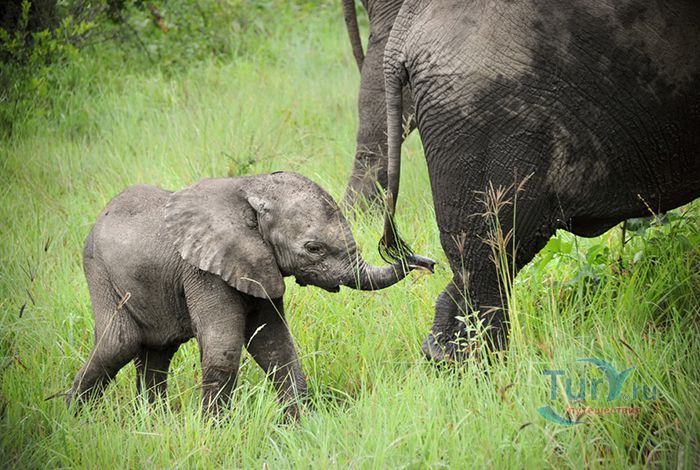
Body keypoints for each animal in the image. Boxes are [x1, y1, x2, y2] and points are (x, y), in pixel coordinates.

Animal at [66, 172, 435, 417]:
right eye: (313, 248)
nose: (427, 262)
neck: (250, 188)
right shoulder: (205, 270)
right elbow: (225, 348)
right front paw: (213, 433)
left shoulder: (257, 266)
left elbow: (274, 345)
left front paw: (300, 428)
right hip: (98, 269)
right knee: (119, 342)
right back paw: (72, 420)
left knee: (157, 351)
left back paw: (154, 422)